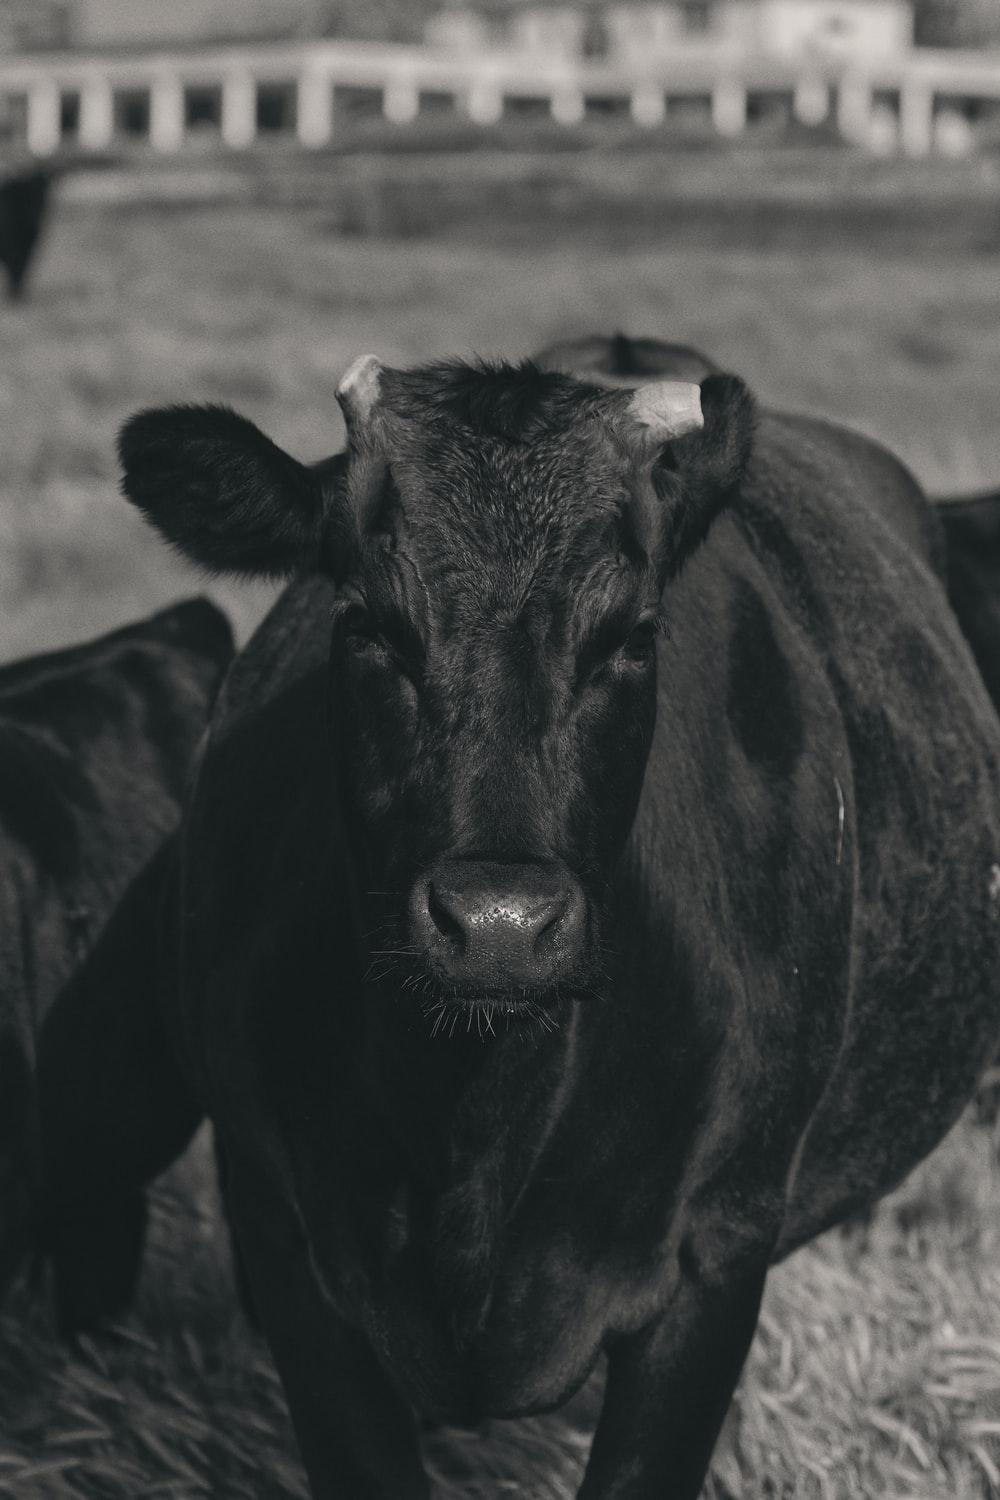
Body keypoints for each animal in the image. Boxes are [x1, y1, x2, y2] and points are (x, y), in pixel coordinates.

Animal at [0, 168, 50, 301]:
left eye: (44, 192)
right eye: (28, 197)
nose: (38, 213)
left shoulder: (27, 248)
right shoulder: (13, 249)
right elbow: (17, 269)